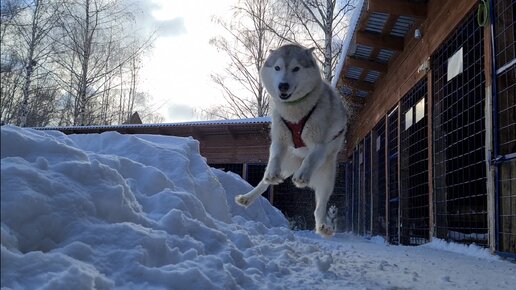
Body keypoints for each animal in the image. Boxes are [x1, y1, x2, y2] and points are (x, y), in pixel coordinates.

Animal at [235, 44, 348, 237]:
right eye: (277, 67)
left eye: (296, 68)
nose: (283, 86)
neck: (295, 111)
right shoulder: (279, 139)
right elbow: (275, 155)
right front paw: (271, 174)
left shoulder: (319, 144)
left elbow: (311, 157)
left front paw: (301, 176)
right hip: (286, 165)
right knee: (264, 182)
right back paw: (248, 197)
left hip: (327, 178)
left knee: (319, 207)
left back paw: (323, 227)